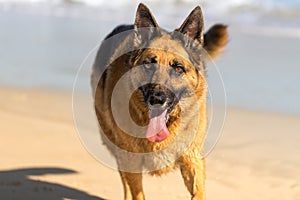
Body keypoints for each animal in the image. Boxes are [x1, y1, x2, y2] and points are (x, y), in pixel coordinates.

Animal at [91, 3, 227, 200]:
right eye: (149, 64)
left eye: (178, 68)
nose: (157, 99)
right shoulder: (130, 161)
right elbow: (136, 192)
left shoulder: (192, 159)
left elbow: (198, 192)